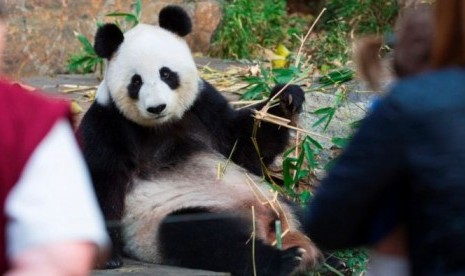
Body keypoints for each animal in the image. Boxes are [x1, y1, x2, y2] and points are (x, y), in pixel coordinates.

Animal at [78, 4, 320, 276]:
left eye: (166, 74)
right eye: (136, 81)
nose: (157, 107)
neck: (160, 126)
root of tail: (274, 230)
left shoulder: (202, 107)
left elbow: (243, 143)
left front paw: (285, 99)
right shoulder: (108, 124)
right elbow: (100, 179)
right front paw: (106, 257)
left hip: (275, 197)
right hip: (172, 218)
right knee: (202, 235)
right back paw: (284, 260)